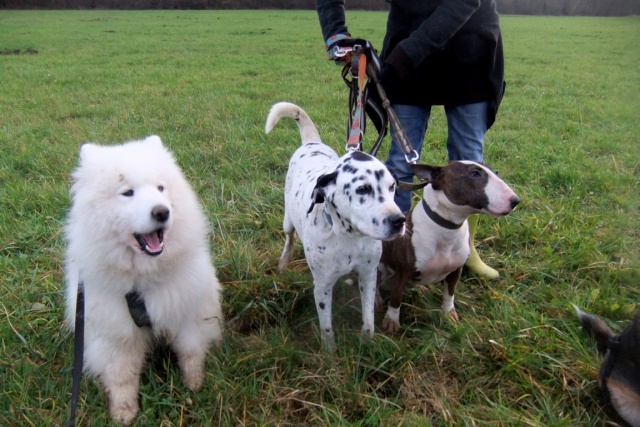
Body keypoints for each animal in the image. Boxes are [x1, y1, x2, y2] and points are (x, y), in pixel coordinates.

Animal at [64, 136, 224, 424]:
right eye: (127, 192)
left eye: (160, 188)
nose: (161, 212)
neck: (142, 281)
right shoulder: (116, 335)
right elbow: (122, 376)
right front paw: (124, 412)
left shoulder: (188, 313)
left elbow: (190, 352)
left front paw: (194, 383)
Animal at [264, 102, 404, 352]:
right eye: (362, 189)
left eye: (392, 187)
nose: (399, 221)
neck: (348, 238)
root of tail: (312, 143)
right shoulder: (322, 285)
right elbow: (327, 328)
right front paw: (330, 353)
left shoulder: (368, 275)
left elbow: (368, 318)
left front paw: (367, 343)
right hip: (287, 221)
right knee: (289, 239)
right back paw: (283, 262)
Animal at [376, 160, 520, 332]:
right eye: (475, 174)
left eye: (495, 172)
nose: (515, 201)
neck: (448, 228)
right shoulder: (401, 273)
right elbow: (396, 299)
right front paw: (391, 321)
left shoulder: (456, 270)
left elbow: (449, 294)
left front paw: (449, 314)